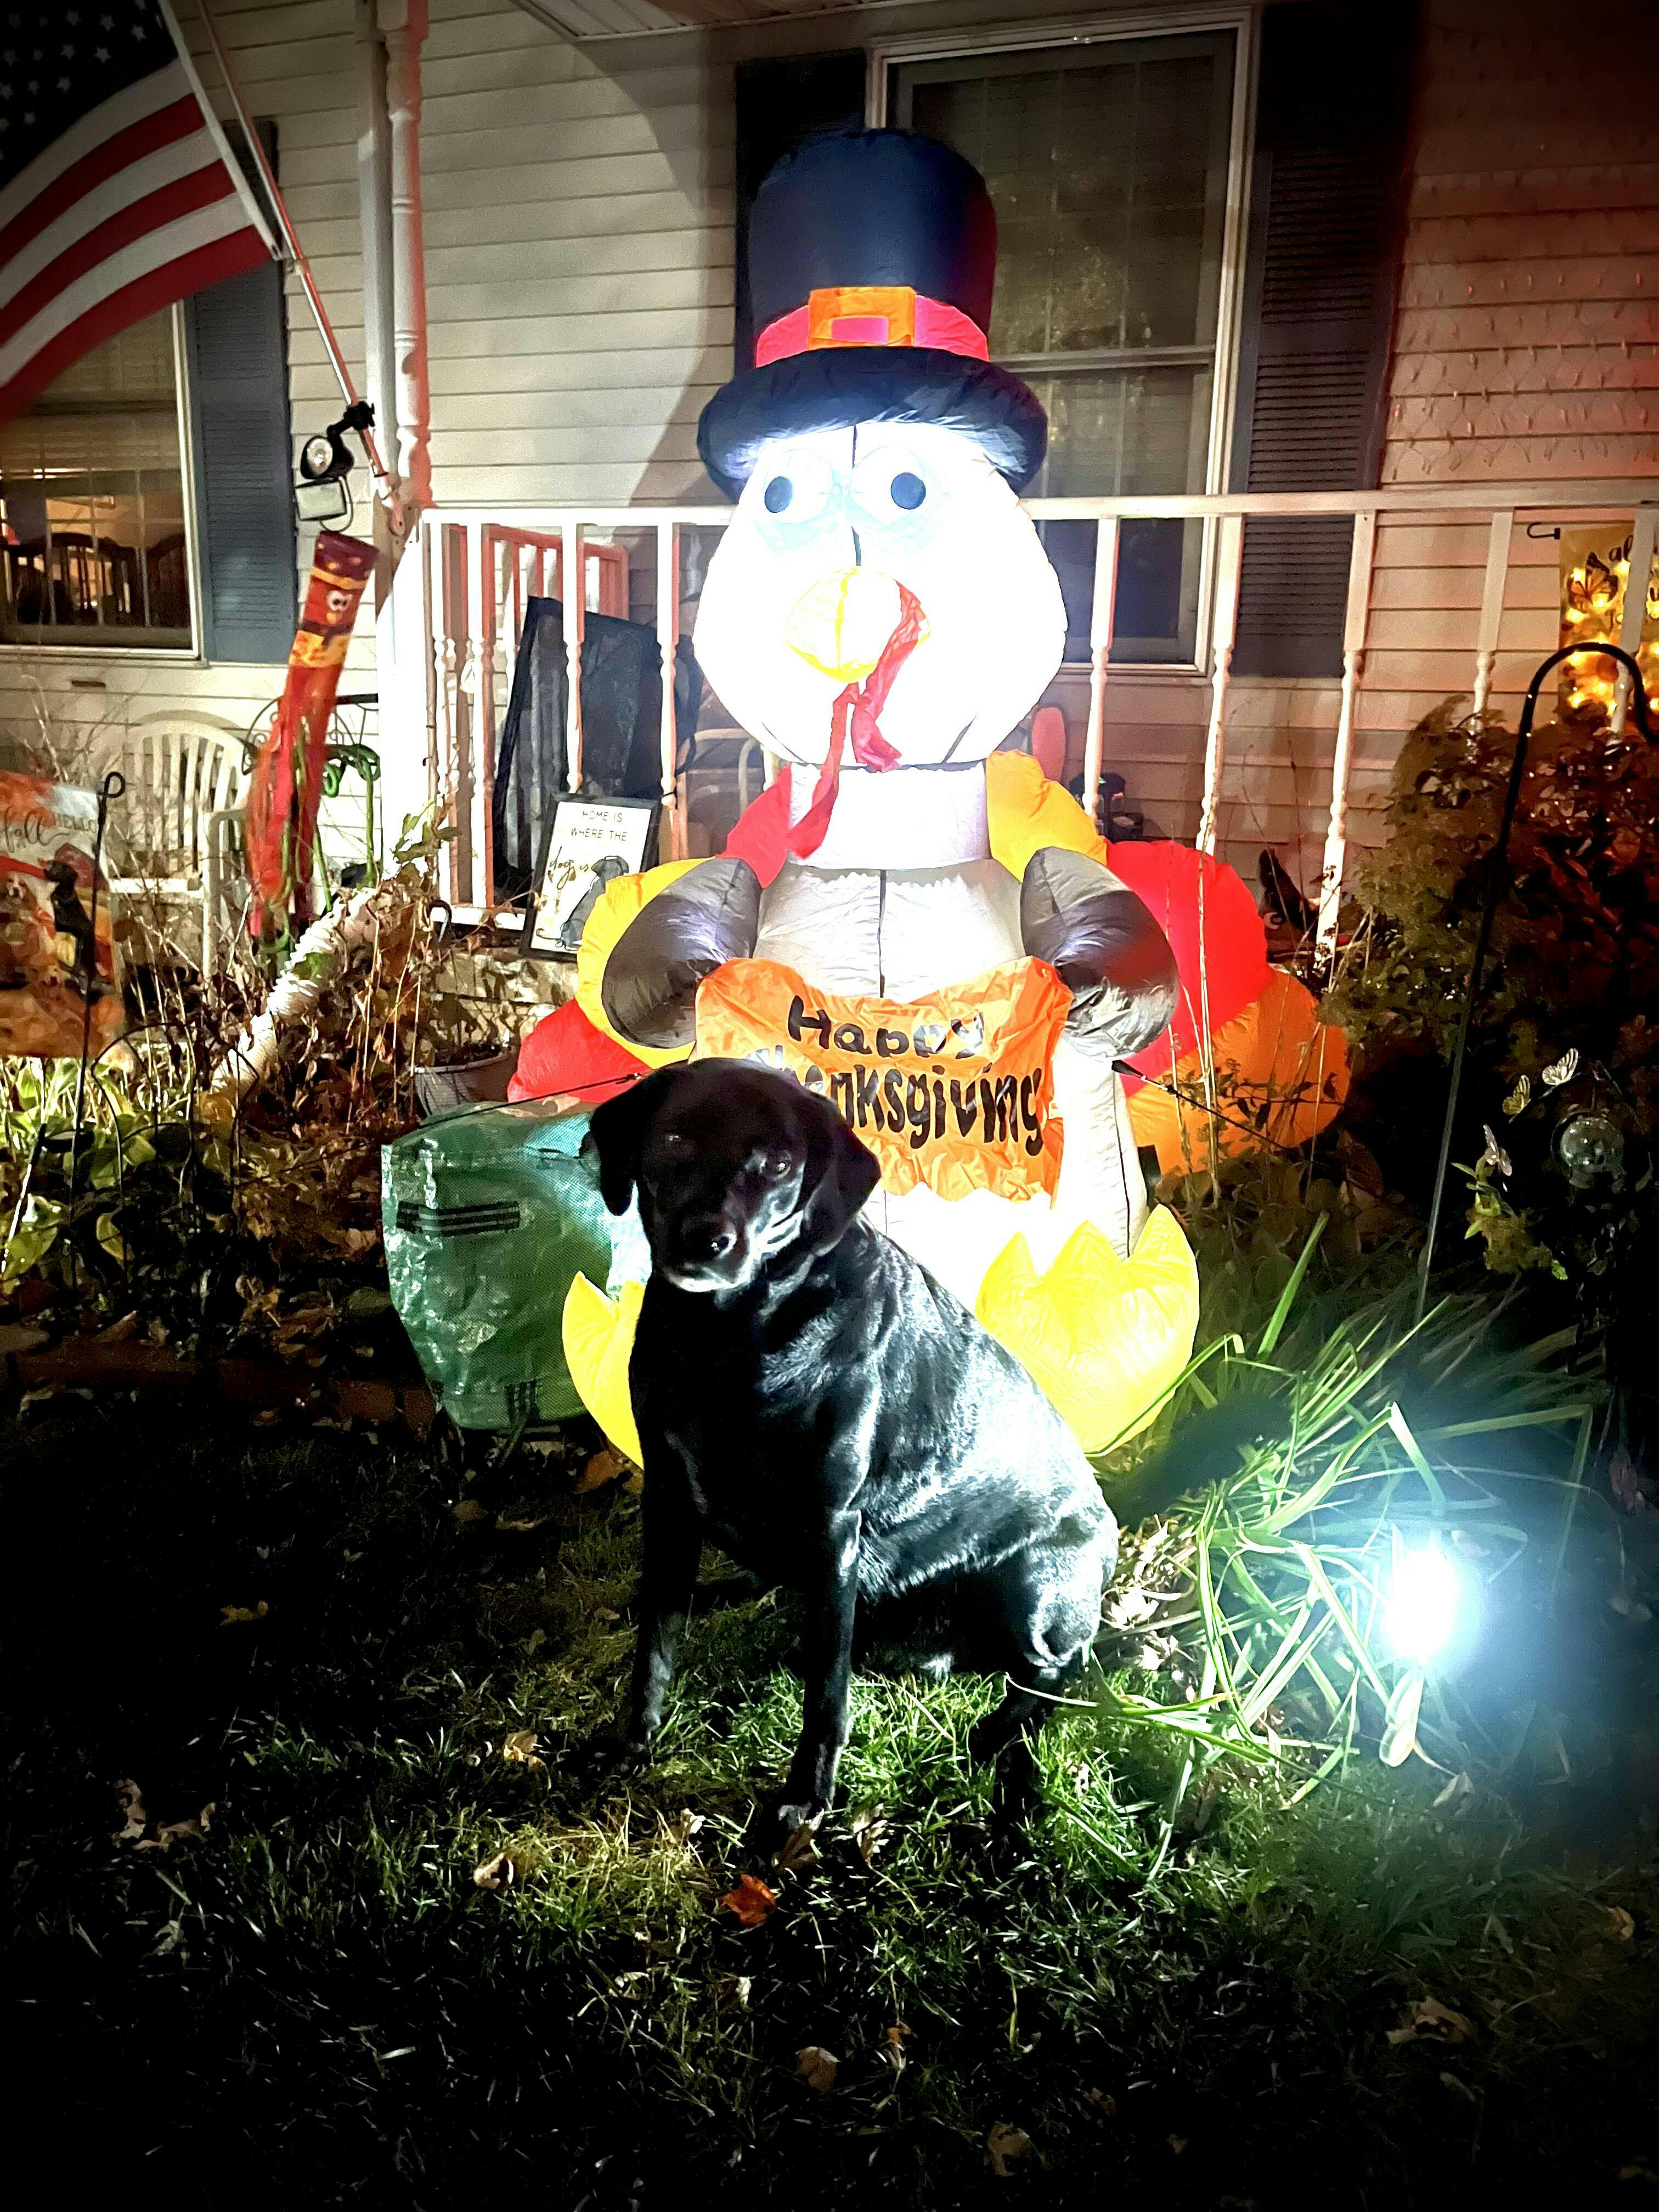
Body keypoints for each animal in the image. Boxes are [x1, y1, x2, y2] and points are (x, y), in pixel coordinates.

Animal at [588, 1058, 1119, 1849]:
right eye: (675, 1138)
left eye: (779, 1164)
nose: (707, 1241)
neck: (727, 1342)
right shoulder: (671, 1499)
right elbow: (655, 1644)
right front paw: (633, 1743)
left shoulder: (831, 1528)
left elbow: (826, 1693)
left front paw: (806, 1798)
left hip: (1035, 1586)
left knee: (1061, 1672)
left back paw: (1003, 1741)